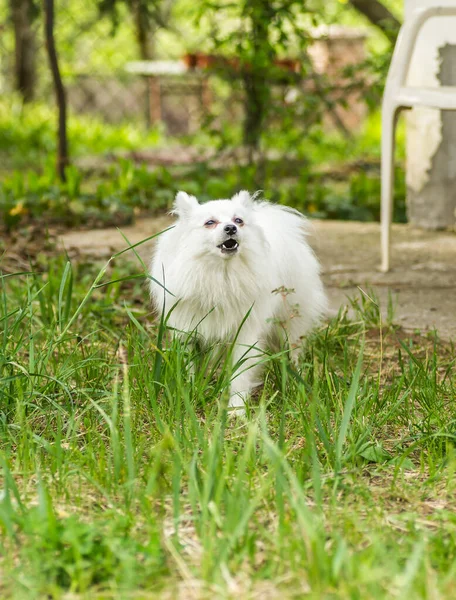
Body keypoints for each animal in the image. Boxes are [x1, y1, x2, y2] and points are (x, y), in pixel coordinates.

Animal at [151, 191, 328, 412]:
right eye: (210, 222)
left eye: (238, 221)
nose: (231, 228)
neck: (221, 274)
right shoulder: (187, 330)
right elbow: (188, 365)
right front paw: (188, 393)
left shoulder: (245, 332)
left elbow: (240, 374)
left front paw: (236, 409)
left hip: (291, 320)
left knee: (294, 348)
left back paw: (296, 380)